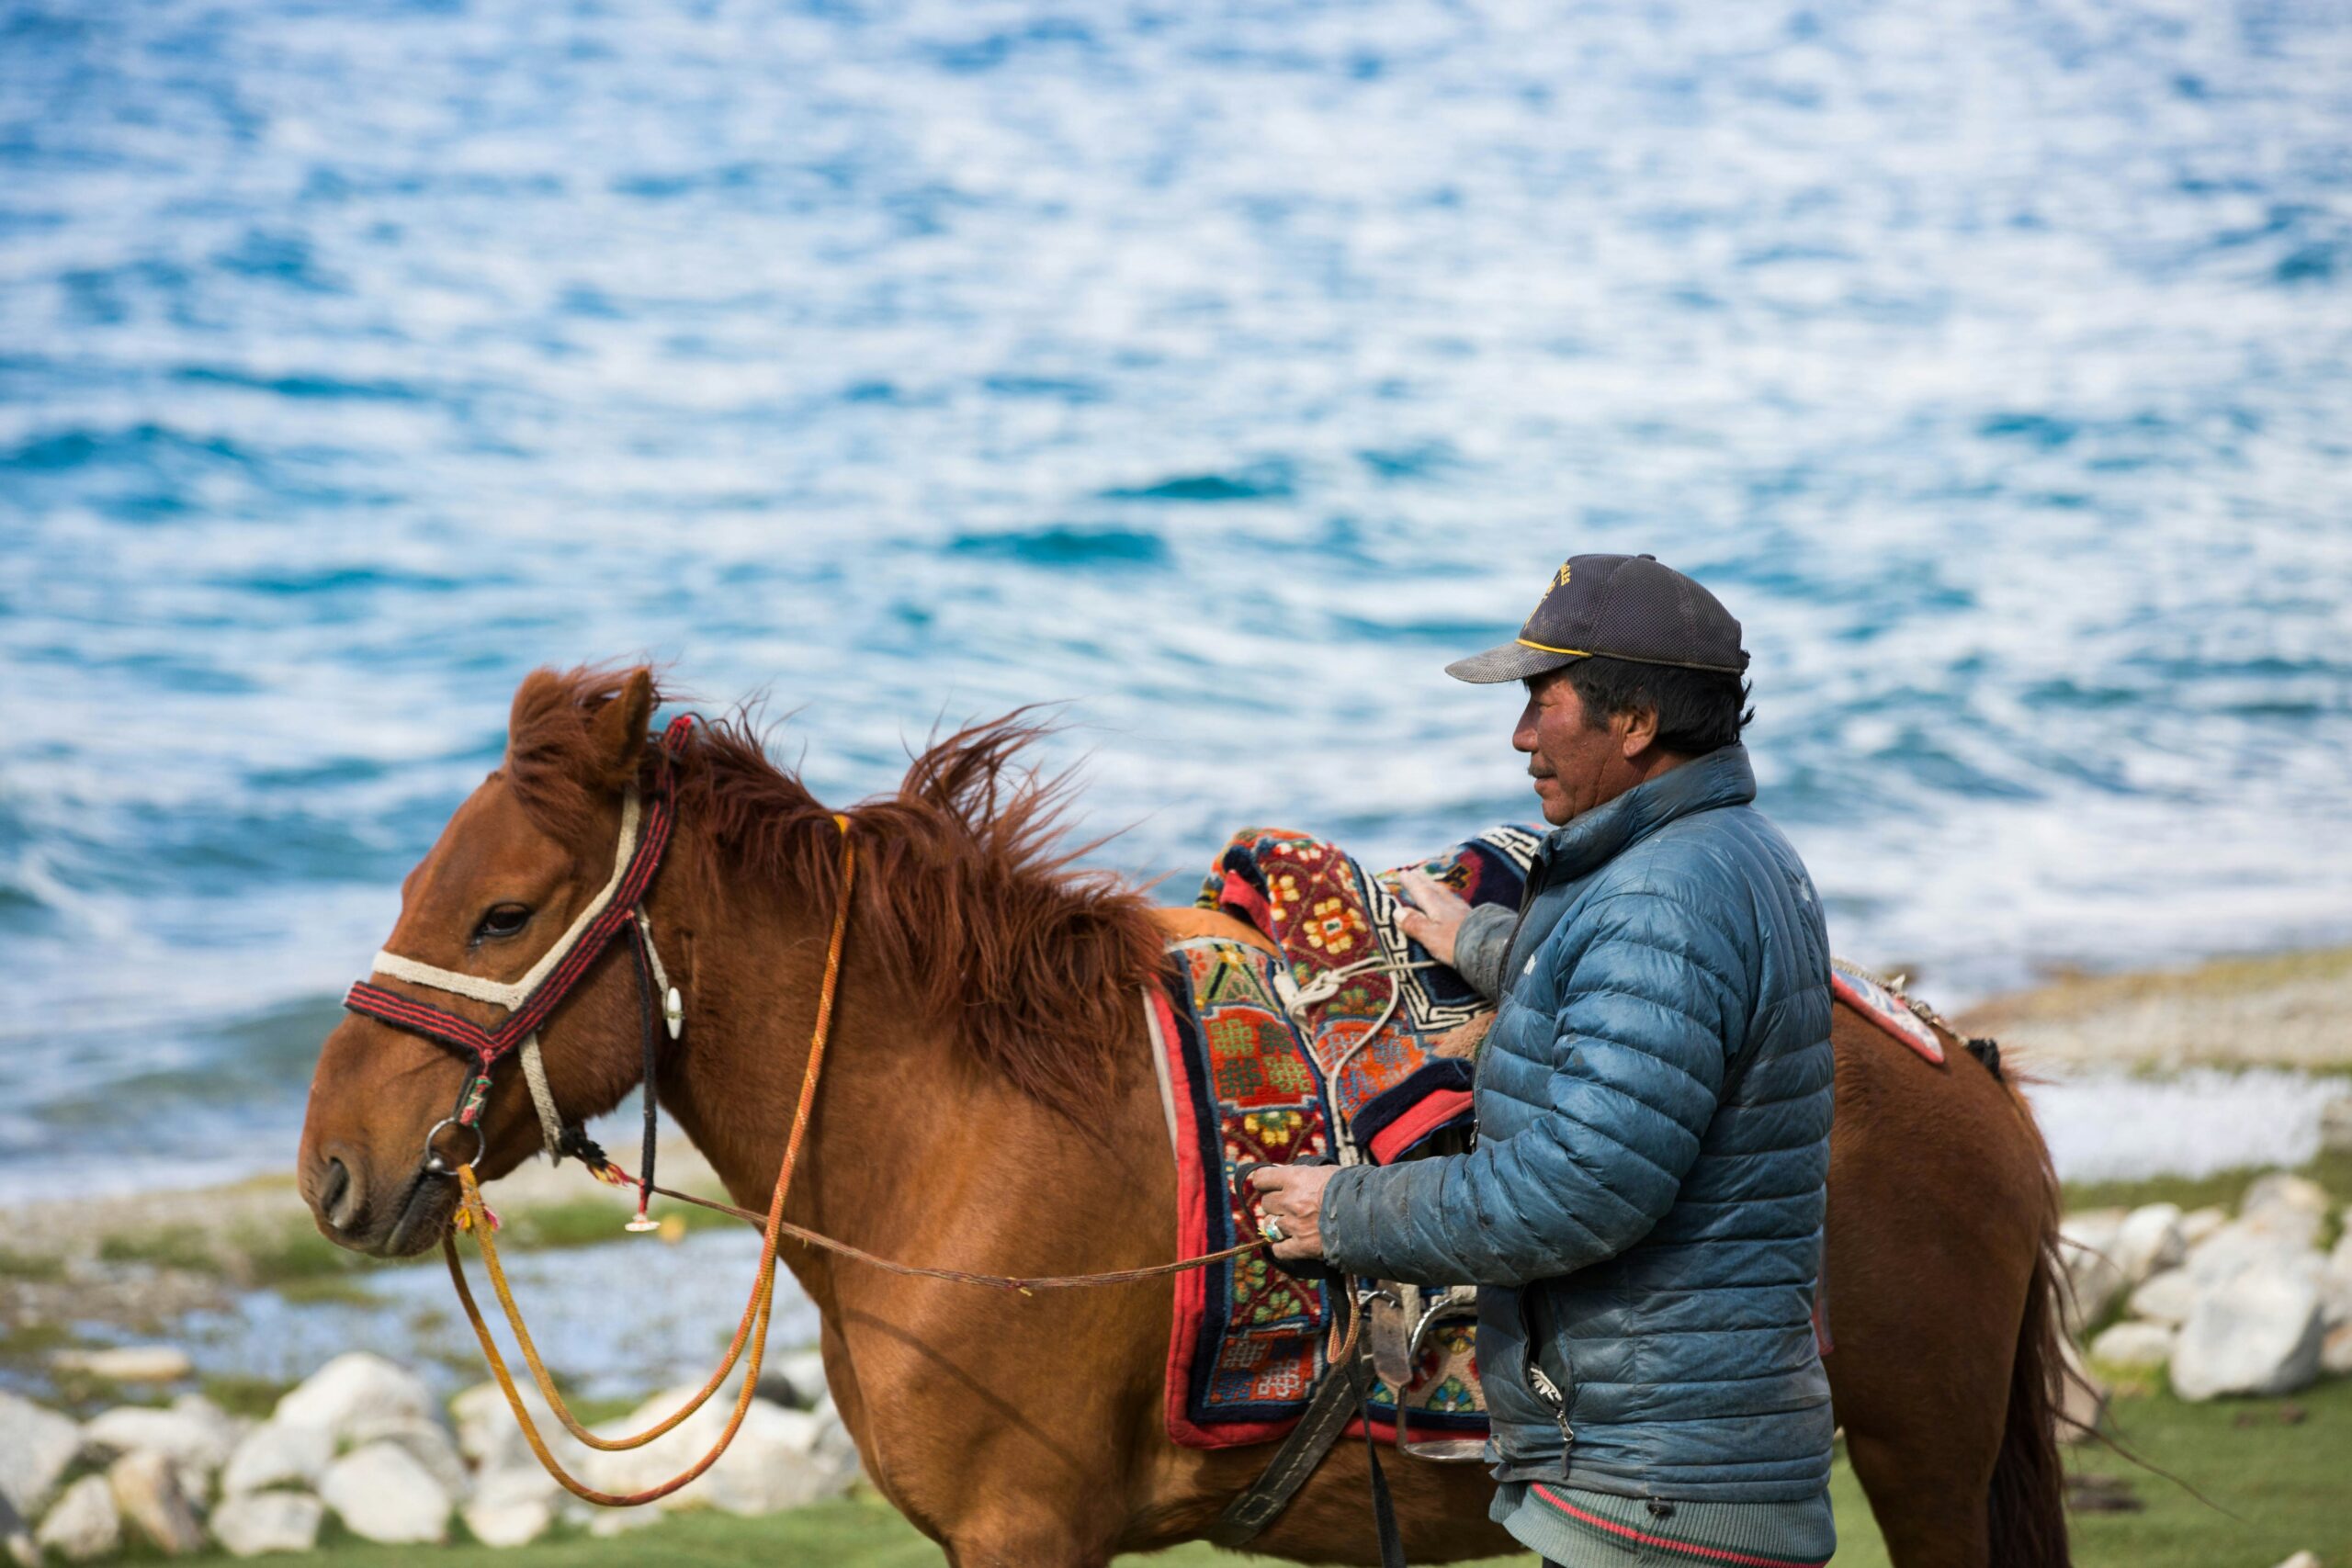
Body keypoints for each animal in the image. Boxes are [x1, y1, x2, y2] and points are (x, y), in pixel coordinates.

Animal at [299, 667, 2079, 1561]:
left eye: (504, 912)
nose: (332, 1170)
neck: (952, 1143)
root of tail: (1961, 1068)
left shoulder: (1026, 1535)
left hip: (1919, 1462)